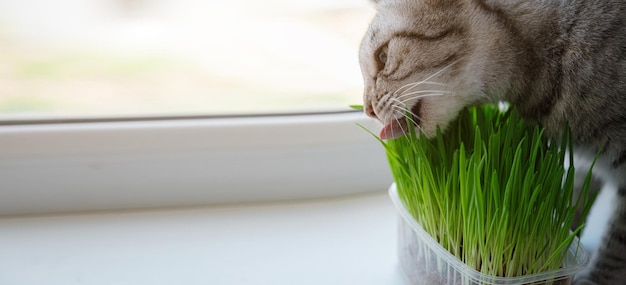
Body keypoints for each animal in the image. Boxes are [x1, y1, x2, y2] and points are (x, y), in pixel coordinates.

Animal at [358, 0, 624, 282]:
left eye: (383, 57)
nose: (367, 110)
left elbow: (615, 243)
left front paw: (596, 277)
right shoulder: (583, 161)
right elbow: (570, 200)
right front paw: (564, 238)